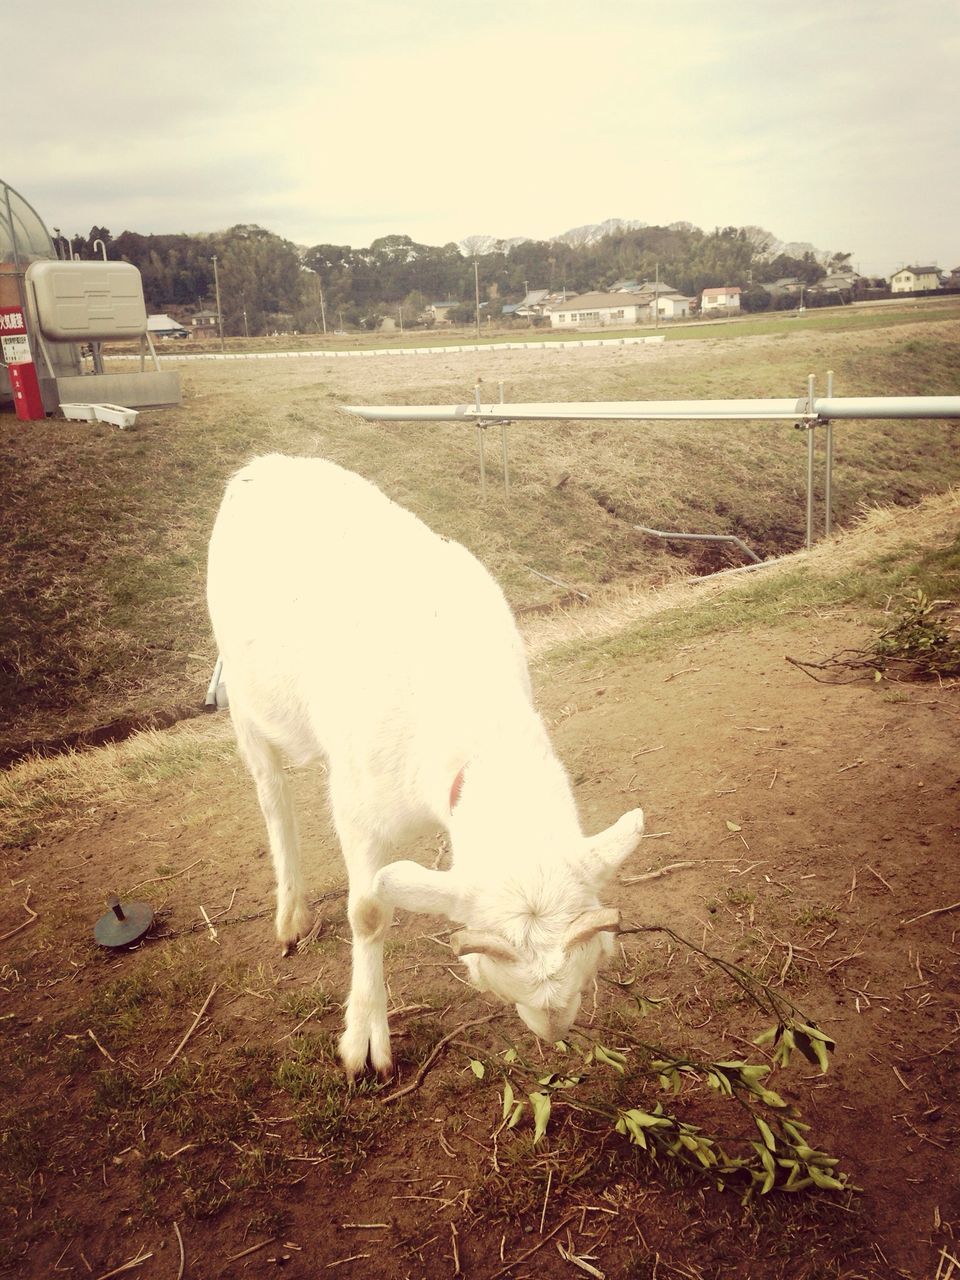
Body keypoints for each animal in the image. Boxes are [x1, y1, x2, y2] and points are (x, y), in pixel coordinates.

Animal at [209, 455, 647, 1075]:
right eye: (494, 973)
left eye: (596, 958)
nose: (554, 1028)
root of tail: (264, 463)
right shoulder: (360, 809)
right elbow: (368, 913)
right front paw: (365, 1042)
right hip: (246, 700)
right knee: (272, 794)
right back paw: (291, 914)